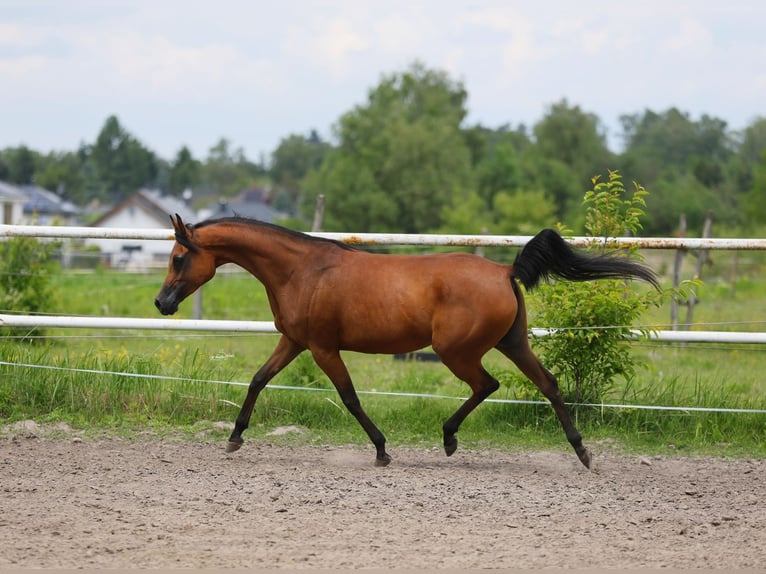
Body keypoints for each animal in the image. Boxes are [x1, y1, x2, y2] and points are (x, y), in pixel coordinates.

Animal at [155, 215, 659, 469]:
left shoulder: (322, 348)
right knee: (549, 384)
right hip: (513, 344)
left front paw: (381, 450)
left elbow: (350, 398)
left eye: (178, 258)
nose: (162, 302)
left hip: (457, 351)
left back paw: (450, 439)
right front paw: (234, 438)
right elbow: (258, 381)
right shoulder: (295, 342)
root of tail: (504, 271)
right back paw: (582, 453)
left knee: (487, 385)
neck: (303, 271)